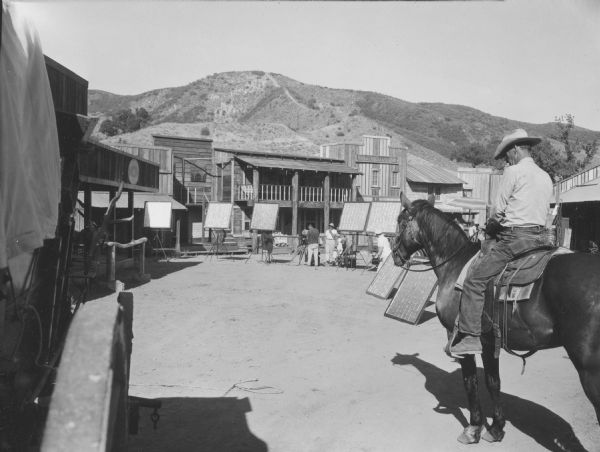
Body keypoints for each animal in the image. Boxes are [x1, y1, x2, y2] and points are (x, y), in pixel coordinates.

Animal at [392, 196, 596, 444]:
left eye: (401, 221)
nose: (394, 254)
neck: (455, 263)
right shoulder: (489, 341)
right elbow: (493, 382)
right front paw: (496, 428)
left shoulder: (460, 338)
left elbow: (470, 382)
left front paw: (473, 428)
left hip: (589, 370)